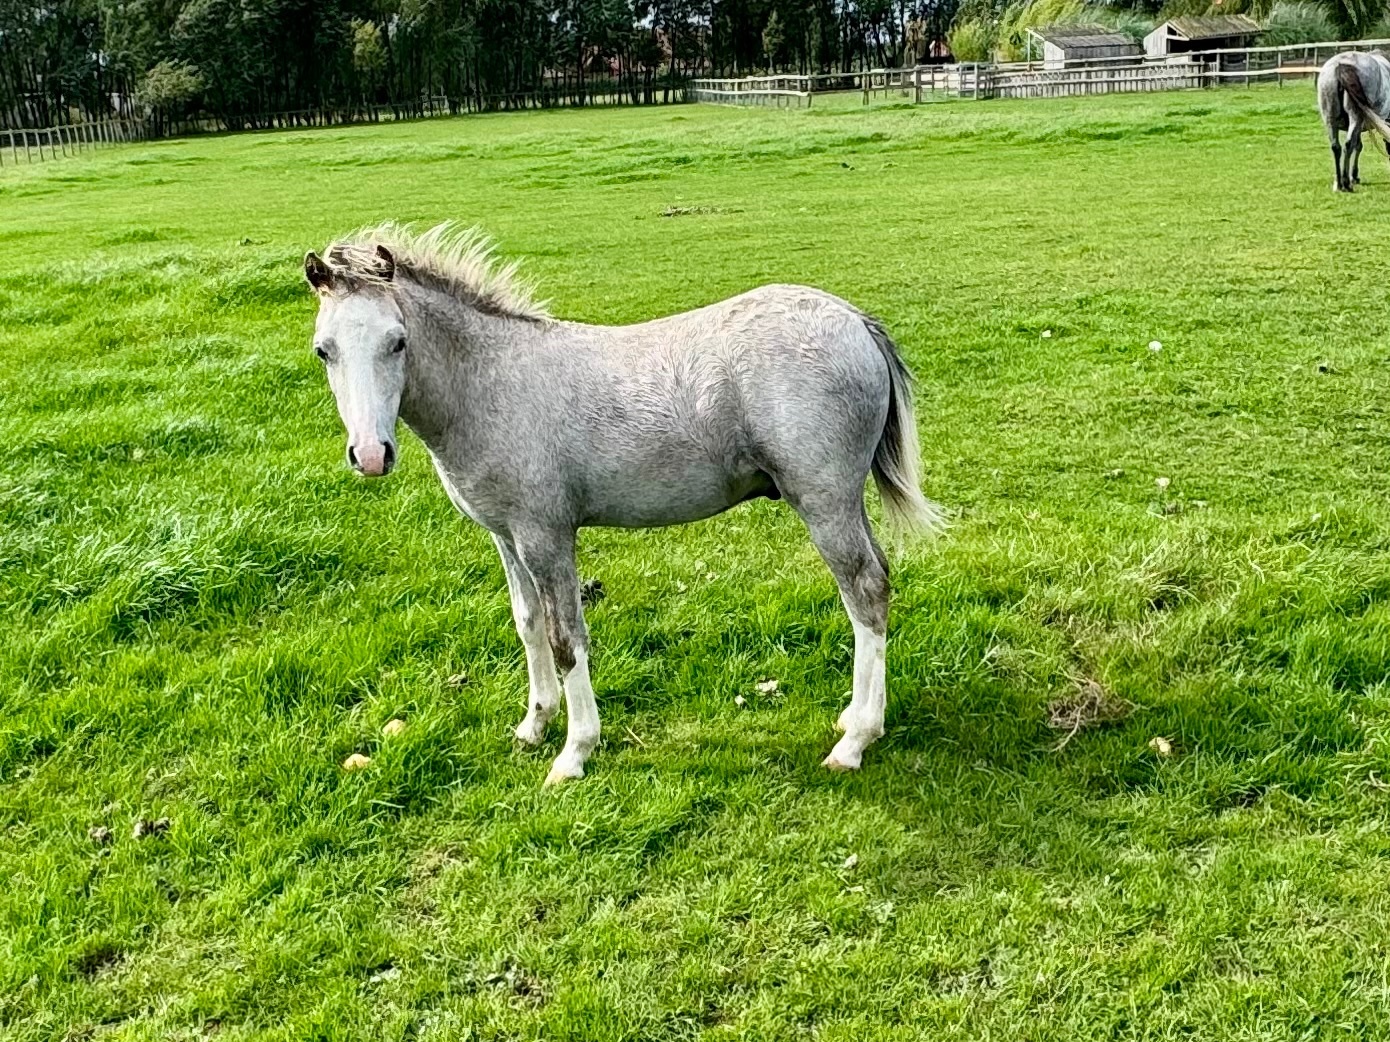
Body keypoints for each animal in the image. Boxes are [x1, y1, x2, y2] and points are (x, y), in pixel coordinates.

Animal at [302, 222, 943, 785]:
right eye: (323, 351)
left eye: (398, 341)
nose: (371, 455)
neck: (491, 384)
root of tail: (856, 321)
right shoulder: (506, 537)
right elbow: (528, 625)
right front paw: (533, 726)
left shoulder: (546, 536)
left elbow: (566, 640)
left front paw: (573, 753)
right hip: (844, 501)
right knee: (876, 580)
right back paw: (858, 717)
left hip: (823, 501)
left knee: (865, 590)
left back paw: (854, 741)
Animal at [1318, 51, 1390, 192]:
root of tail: (1340, 65)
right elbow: (1358, 146)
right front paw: (1354, 176)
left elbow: (1358, 146)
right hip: (1355, 117)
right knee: (1348, 145)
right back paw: (1346, 183)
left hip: (1331, 120)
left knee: (1336, 147)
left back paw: (1338, 183)